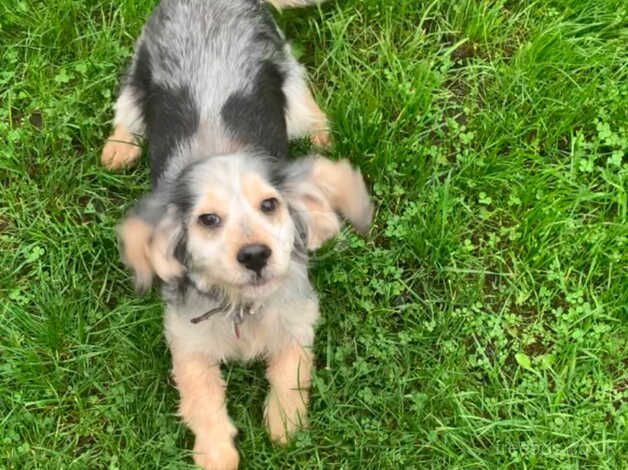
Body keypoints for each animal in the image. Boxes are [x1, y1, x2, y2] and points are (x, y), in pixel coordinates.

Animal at [100, 1, 370, 468]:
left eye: (270, 205)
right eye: (208, 220)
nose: (256, 255)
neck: (241, 307)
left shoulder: (299, 319)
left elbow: (291, 373)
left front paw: (284, 425)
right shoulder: (187, 343)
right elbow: (202, 401)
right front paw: (217, 454)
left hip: (288, 82)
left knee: (309, 108)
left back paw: (323, 135)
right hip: (137, 76)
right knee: (126, 114)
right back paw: (119, 148)